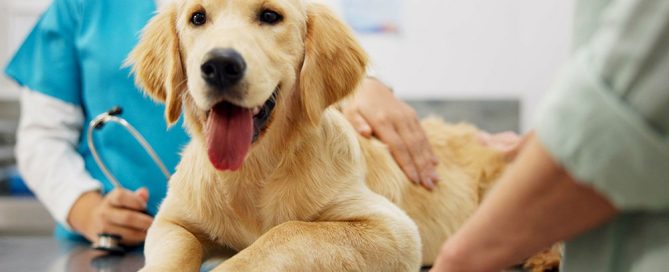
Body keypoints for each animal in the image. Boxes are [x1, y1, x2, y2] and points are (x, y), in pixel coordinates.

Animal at [125, 0, 560, 270]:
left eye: (270, 15)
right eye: (197, 18)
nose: (219, 65)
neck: (255, 171)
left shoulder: (393, 230)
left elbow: (286, 234)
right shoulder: (173, 221)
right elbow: (172, 250)